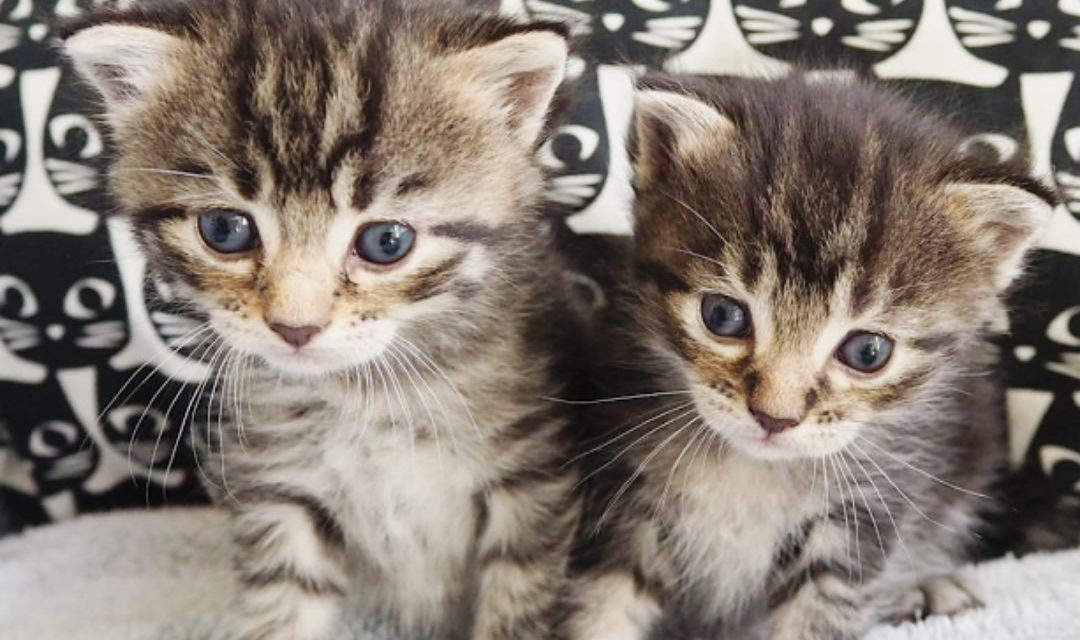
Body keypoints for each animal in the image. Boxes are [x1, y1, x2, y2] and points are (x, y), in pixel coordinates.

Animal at [63, 1, 583, 638]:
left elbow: (519, 601)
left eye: (387, 242)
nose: (296, 327)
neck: (364, 394)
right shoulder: (279, 485)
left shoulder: (532, 477)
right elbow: (282, 599)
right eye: (224, 230)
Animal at [570, 75, 1058, 638]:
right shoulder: (627, 500)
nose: (774, 418)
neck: (751, 470)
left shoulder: (858, 520)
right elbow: (600, 605)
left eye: (868, 352)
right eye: (722, 316)